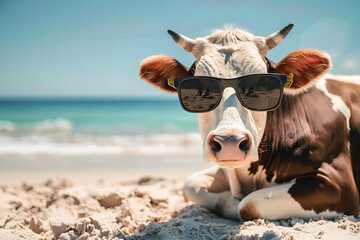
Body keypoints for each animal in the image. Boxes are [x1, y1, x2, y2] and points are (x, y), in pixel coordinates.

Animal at [139, 23, 360, 219]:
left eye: (264, 83)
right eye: (200, 87)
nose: (229, 142)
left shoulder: (340, 185)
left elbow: (248, 205)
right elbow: (191, 185)